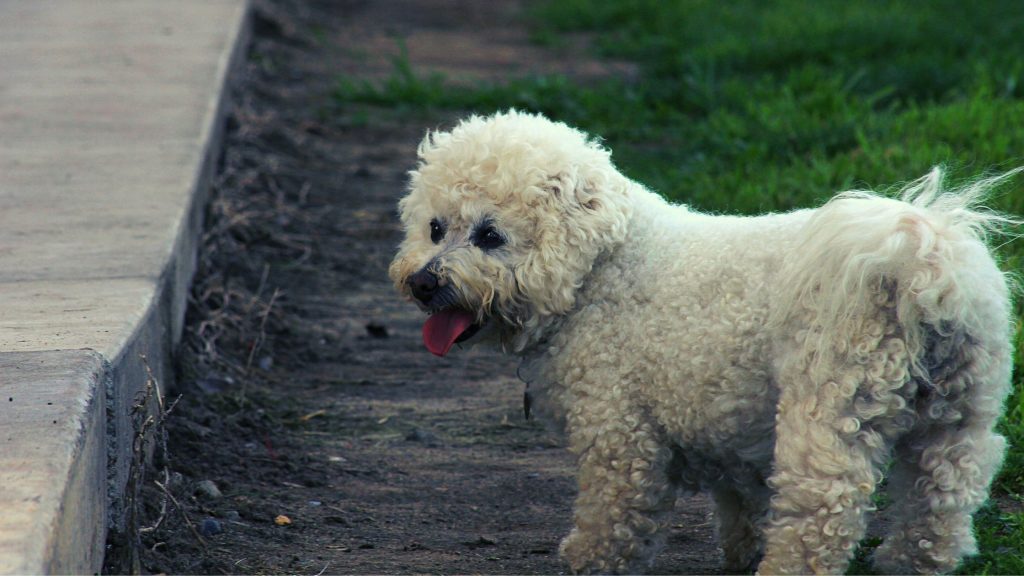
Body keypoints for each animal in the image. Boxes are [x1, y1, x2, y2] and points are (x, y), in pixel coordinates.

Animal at [387, 109, 1019, 569]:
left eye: (490, 235)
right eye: (434, 228)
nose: (423, 283)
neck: (603, 269)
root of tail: (921, 263)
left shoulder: (619, 434)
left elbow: (612, 513)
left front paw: (589, 558)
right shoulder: (733, 429)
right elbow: (744, 503)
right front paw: (741, 551)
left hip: (829, 407)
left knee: (823, 512)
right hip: (959, 413)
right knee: (941, 502)